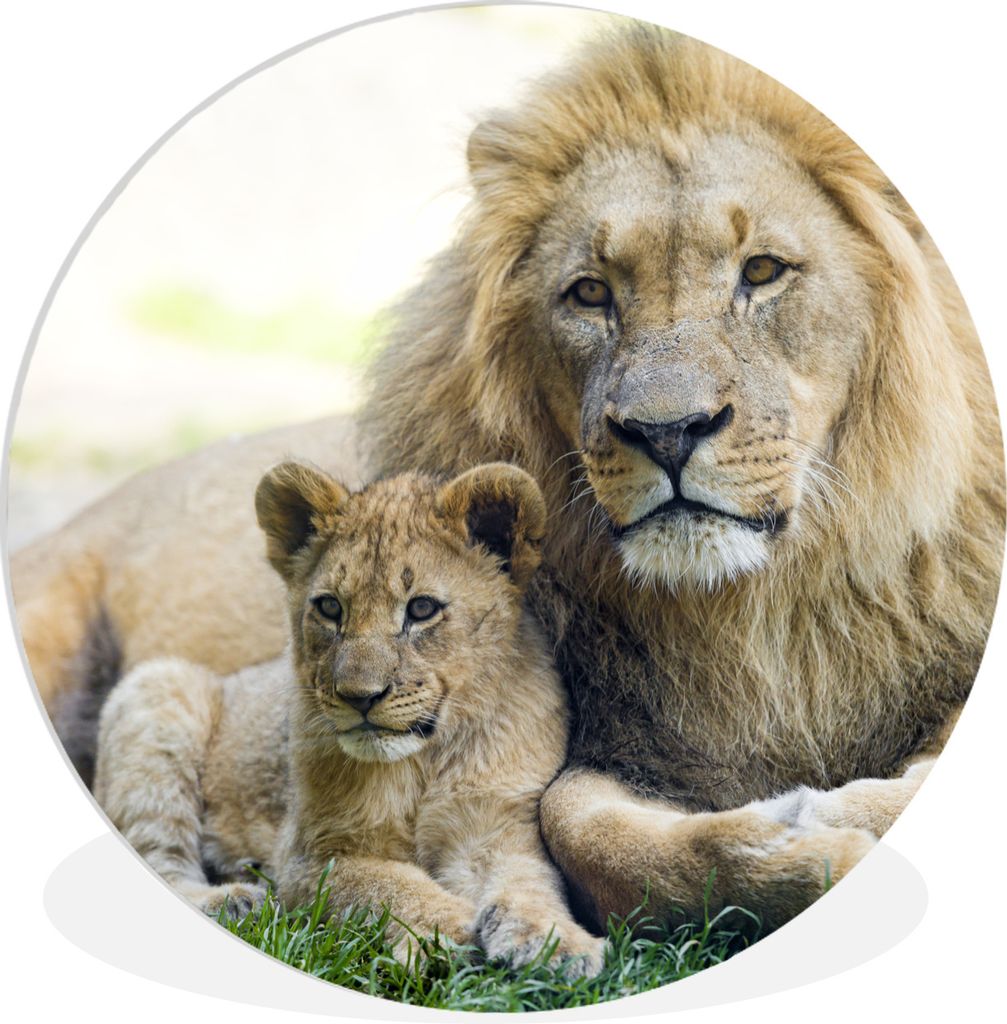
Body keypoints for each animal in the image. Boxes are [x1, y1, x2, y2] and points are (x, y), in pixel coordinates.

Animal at [94, 460, 604, 973]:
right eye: (330, 607)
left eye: (421, 608)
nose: (360, 697)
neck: (424, 762)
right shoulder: (310, 858)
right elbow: (389, 886)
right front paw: (451, 934)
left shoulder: (495, 826)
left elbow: (529, 881)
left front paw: (558, 942)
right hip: (158, 687)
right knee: (160, 858)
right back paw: (234, 899)